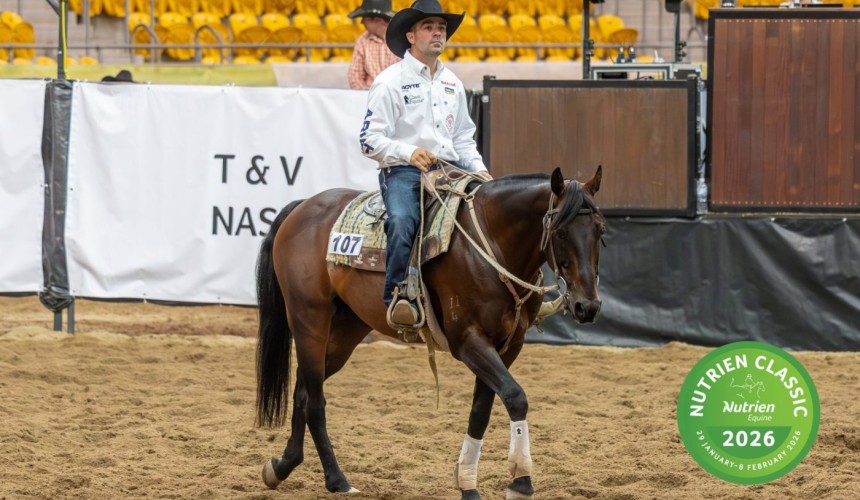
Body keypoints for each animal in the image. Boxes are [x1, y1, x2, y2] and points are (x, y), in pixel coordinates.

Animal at [255, 166, 605, 499]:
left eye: (601, 231)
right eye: (560, 232)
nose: (587, 306)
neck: (492, 246)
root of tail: (303, 206)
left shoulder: (508, 345)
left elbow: (482, 410)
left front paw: (467, 482)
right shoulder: (468, 341)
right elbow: (516, 397)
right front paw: (520, 481)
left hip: (345, 330)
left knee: (303, 390)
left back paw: (282, 466)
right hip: (309, 319)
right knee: (314, 400)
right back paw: (336, 479)